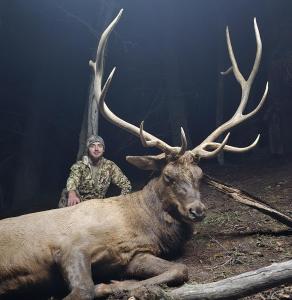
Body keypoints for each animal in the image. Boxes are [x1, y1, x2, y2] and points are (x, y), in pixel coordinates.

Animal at [0, 8, 268, 298]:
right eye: (168, 176)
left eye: (200, 175)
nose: (197, 210)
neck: (139, 223)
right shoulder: (70, 245)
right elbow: (83, 288)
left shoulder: (133, 254)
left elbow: (179, 269)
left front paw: (113, 285)